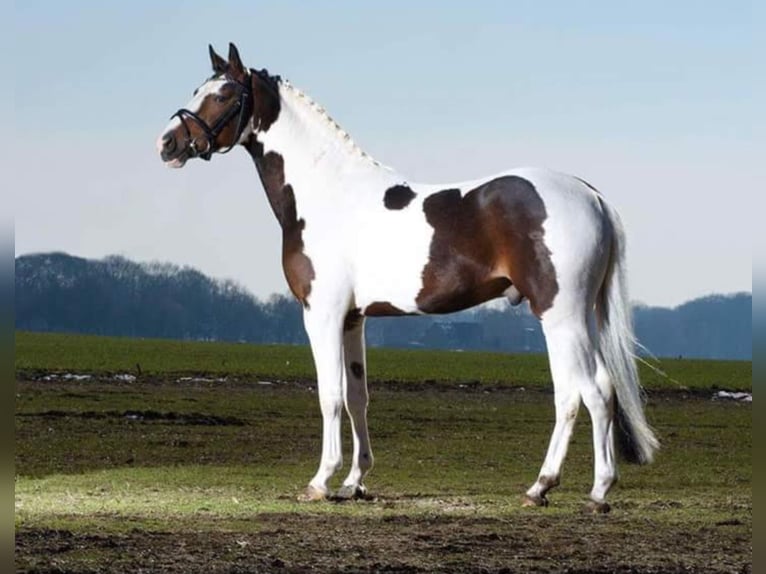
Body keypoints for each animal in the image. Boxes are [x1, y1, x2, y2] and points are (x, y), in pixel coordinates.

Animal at [156, 44, 660, 512]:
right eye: (198, 90)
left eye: (222, 95)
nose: (167, 144)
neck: (326, 193)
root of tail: (591, 195)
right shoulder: (353, 318)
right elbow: (357, 396)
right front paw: (354, 482)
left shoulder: (321, 314)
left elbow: (329, 395)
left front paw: (321, 481)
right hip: (576, 316)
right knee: (582, 392)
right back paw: (543, 488)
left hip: (561, 315)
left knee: (591, 392)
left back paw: (592, 491)